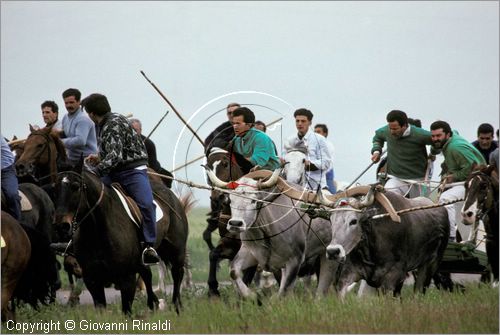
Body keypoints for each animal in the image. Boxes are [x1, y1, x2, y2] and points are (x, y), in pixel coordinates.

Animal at [53, 163, 189, 316]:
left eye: (75, 186)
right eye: (55, 188)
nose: (61, 226)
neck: (98, 229)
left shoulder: (126, 278)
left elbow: (127, 311)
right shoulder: (92, 279)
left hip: (177, 252)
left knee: (177, 274)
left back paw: (177, 306)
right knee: (147, 274)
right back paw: (154, 303)